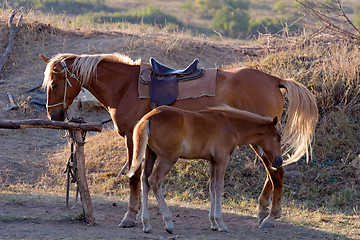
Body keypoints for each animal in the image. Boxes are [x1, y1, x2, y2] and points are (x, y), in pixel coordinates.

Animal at [128, 105, 282, 232]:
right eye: (278, 138)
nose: (279, 161)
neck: (231, 125)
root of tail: (148, 118)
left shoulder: (212, 161)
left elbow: (212, 187)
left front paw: (213, 223)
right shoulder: (222, 159)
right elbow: (219, 187)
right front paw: (221, 224)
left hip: (150, 154)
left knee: (145, 180)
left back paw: (147, 224)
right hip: (168, 158)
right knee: (154, 180)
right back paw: (169, 223)